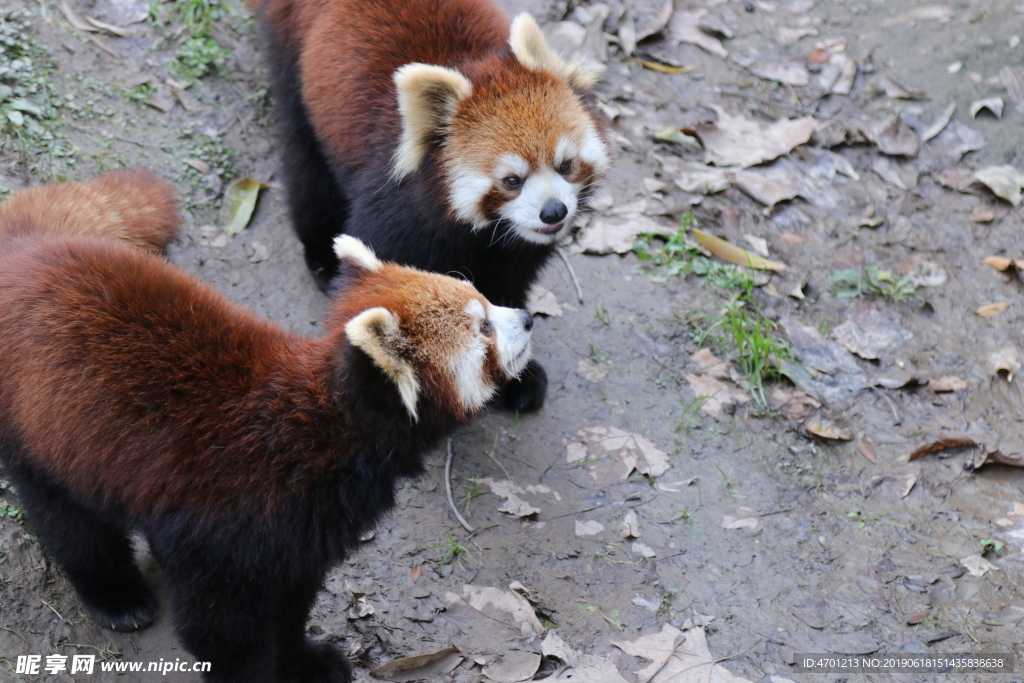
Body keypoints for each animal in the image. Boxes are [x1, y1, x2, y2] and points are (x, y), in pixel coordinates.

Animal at [2, 172, 536, 683]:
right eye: (483, 328)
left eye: (485, 298)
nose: (529, 318)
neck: (334, 432)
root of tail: (27, 250)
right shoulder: (228, 519)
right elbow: (221, 629)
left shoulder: (303, 535)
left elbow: (290, 605)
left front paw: (303, 660)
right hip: (39, 426)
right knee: (68, 520)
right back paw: (116, 596)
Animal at [251, 0, 610, 413]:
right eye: (512, 181)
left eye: (565, 165)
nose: (553, 212)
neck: (480, 232)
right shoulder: (394, 204)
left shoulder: (516, 249)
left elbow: (506, 285)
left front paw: (516, 371)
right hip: (292, 60)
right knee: (305, 162)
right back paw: (321, 252)